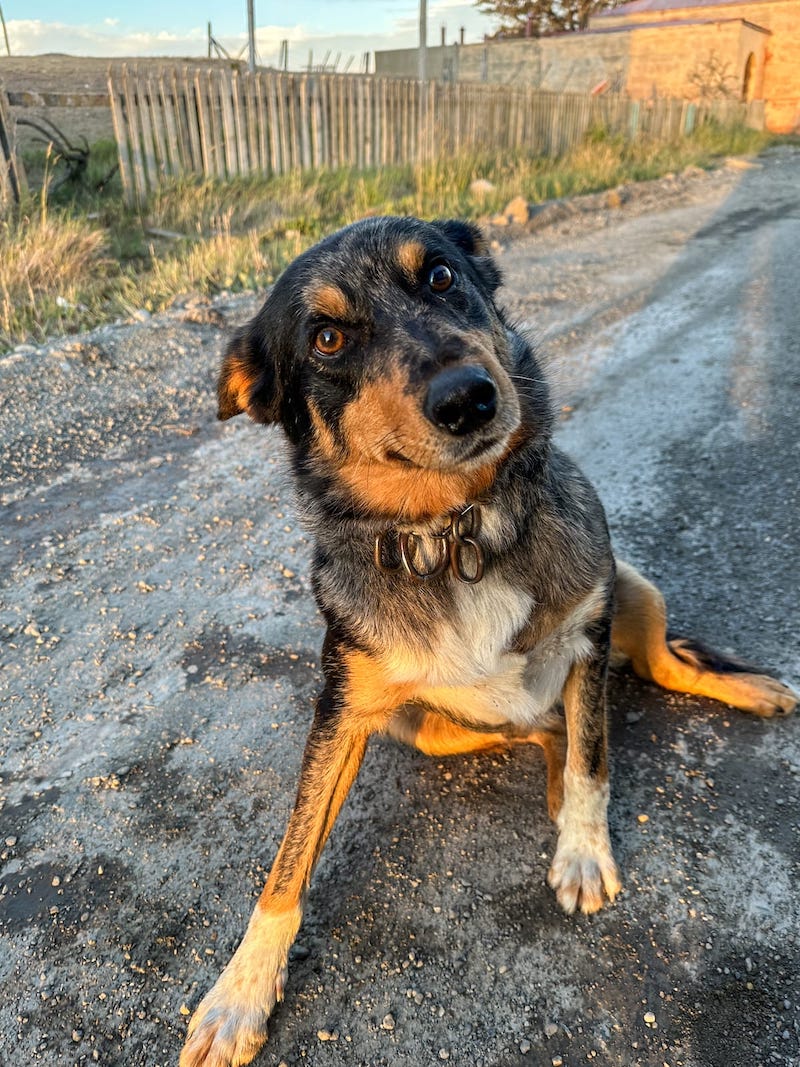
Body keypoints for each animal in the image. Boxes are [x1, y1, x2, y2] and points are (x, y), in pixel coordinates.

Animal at [180, 216, 797, 1067]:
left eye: (440, 275)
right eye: (328, 337)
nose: (467, 397)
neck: (456, 531)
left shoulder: (589, 632)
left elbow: (596, 759)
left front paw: (583, 847)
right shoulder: (342, 712)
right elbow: (288, 859)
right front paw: (238, 994)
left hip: (634, 586)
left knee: (657, 672)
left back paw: (741, 690)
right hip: (426, 728)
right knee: (545, 730)